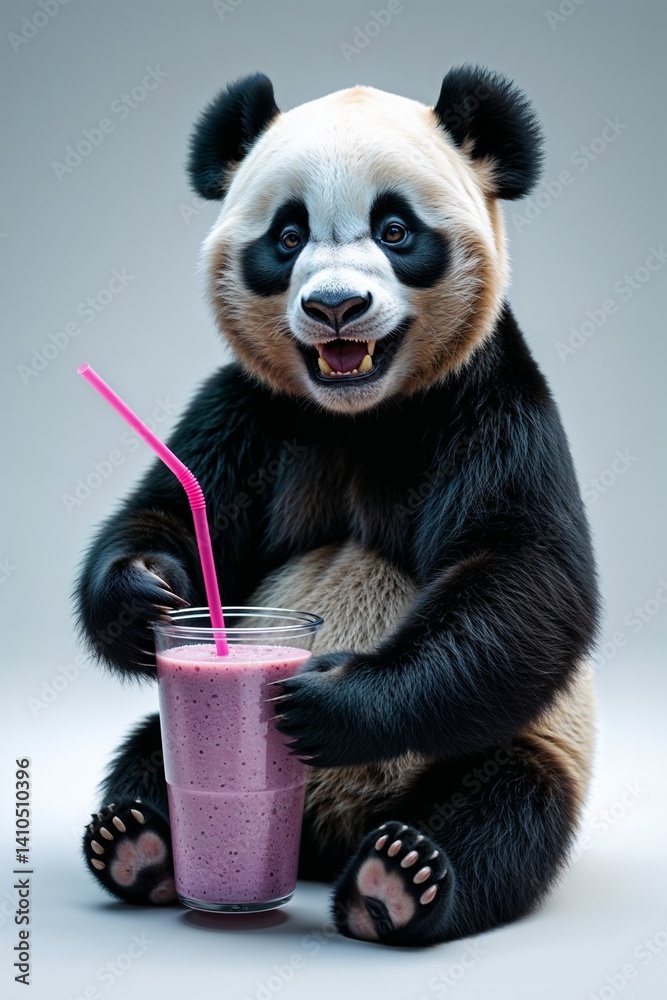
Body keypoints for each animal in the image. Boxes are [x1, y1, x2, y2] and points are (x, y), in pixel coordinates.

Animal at [77, 66, 599, 946]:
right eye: (287, 237)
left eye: (394, 229)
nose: (334, 308)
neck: (362, 413)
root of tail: (326, 833)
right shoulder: (251, 414)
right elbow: (174, 508)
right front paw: (144, 591)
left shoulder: (492, 406)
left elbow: (522, 576)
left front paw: (327, 699)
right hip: (170, 744)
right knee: (149, 754)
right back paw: (137, 842)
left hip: (529, 744)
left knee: (508, 806)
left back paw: (398, 879)